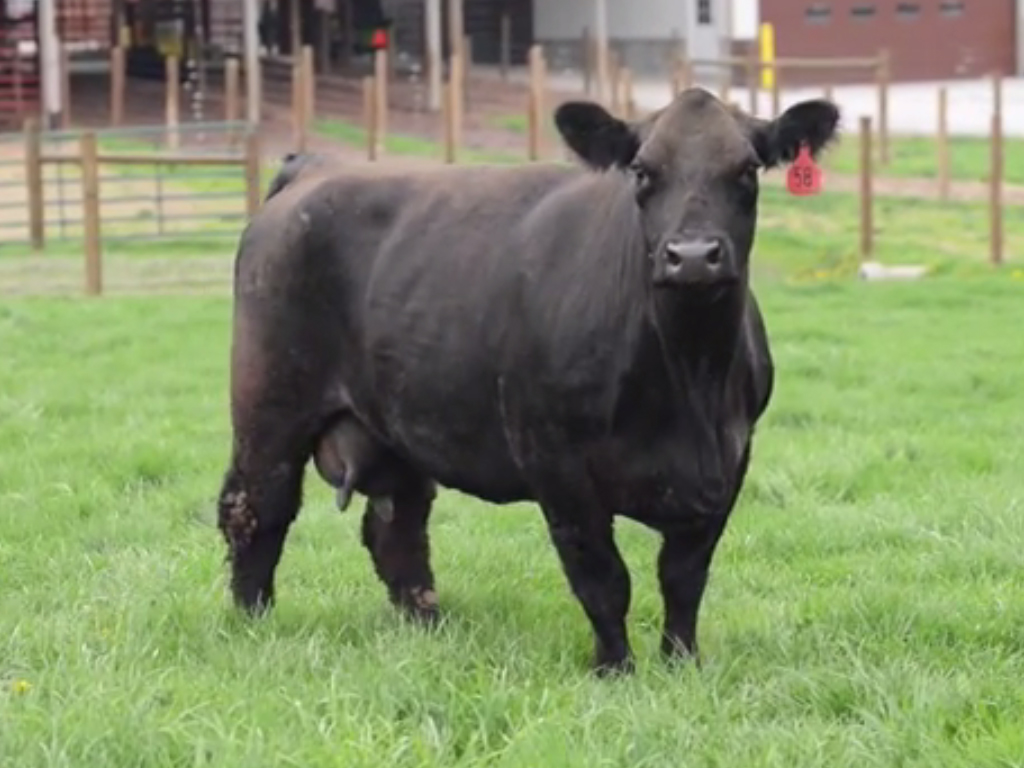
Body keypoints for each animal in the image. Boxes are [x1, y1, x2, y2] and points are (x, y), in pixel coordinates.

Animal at [217, 87, 840, 674]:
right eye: (642, 171)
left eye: (747, 169)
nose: (690, 255)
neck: (688, 380)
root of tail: (315, 166)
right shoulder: (557, 463)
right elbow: (602, 577)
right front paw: (615, 669)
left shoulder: (729, 461)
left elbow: (684, 577)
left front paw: (681, 664)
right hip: (271, 403)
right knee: (256, 509)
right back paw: (253, 623)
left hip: (397, 420)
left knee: (396, 524)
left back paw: (426, 624)